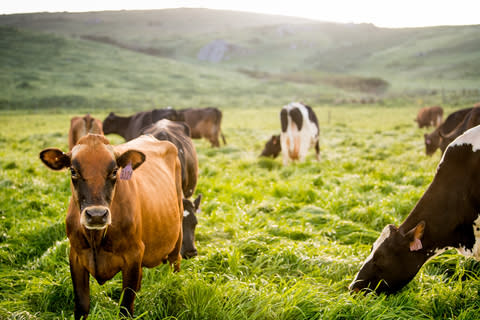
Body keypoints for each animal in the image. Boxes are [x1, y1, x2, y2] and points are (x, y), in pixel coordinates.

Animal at [38, 134, 182, 318]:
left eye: (114, 172)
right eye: (73, 171)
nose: (97, 215)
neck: (96, 238)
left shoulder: (133, 255)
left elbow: (126, 307)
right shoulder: (75, 256)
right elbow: (82, 306)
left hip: (178, 229)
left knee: (175, 261)